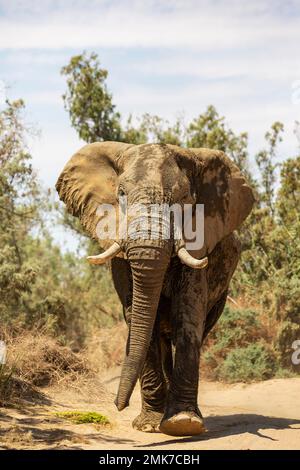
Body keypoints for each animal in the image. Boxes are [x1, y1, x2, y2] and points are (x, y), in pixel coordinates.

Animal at [55, 142, 253, 436]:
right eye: (121, 194)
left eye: (184, 198)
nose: (118, 405)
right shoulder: (121, 260)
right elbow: (137, 317)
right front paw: (149, 425)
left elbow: (188, 316)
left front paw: (182, 423)